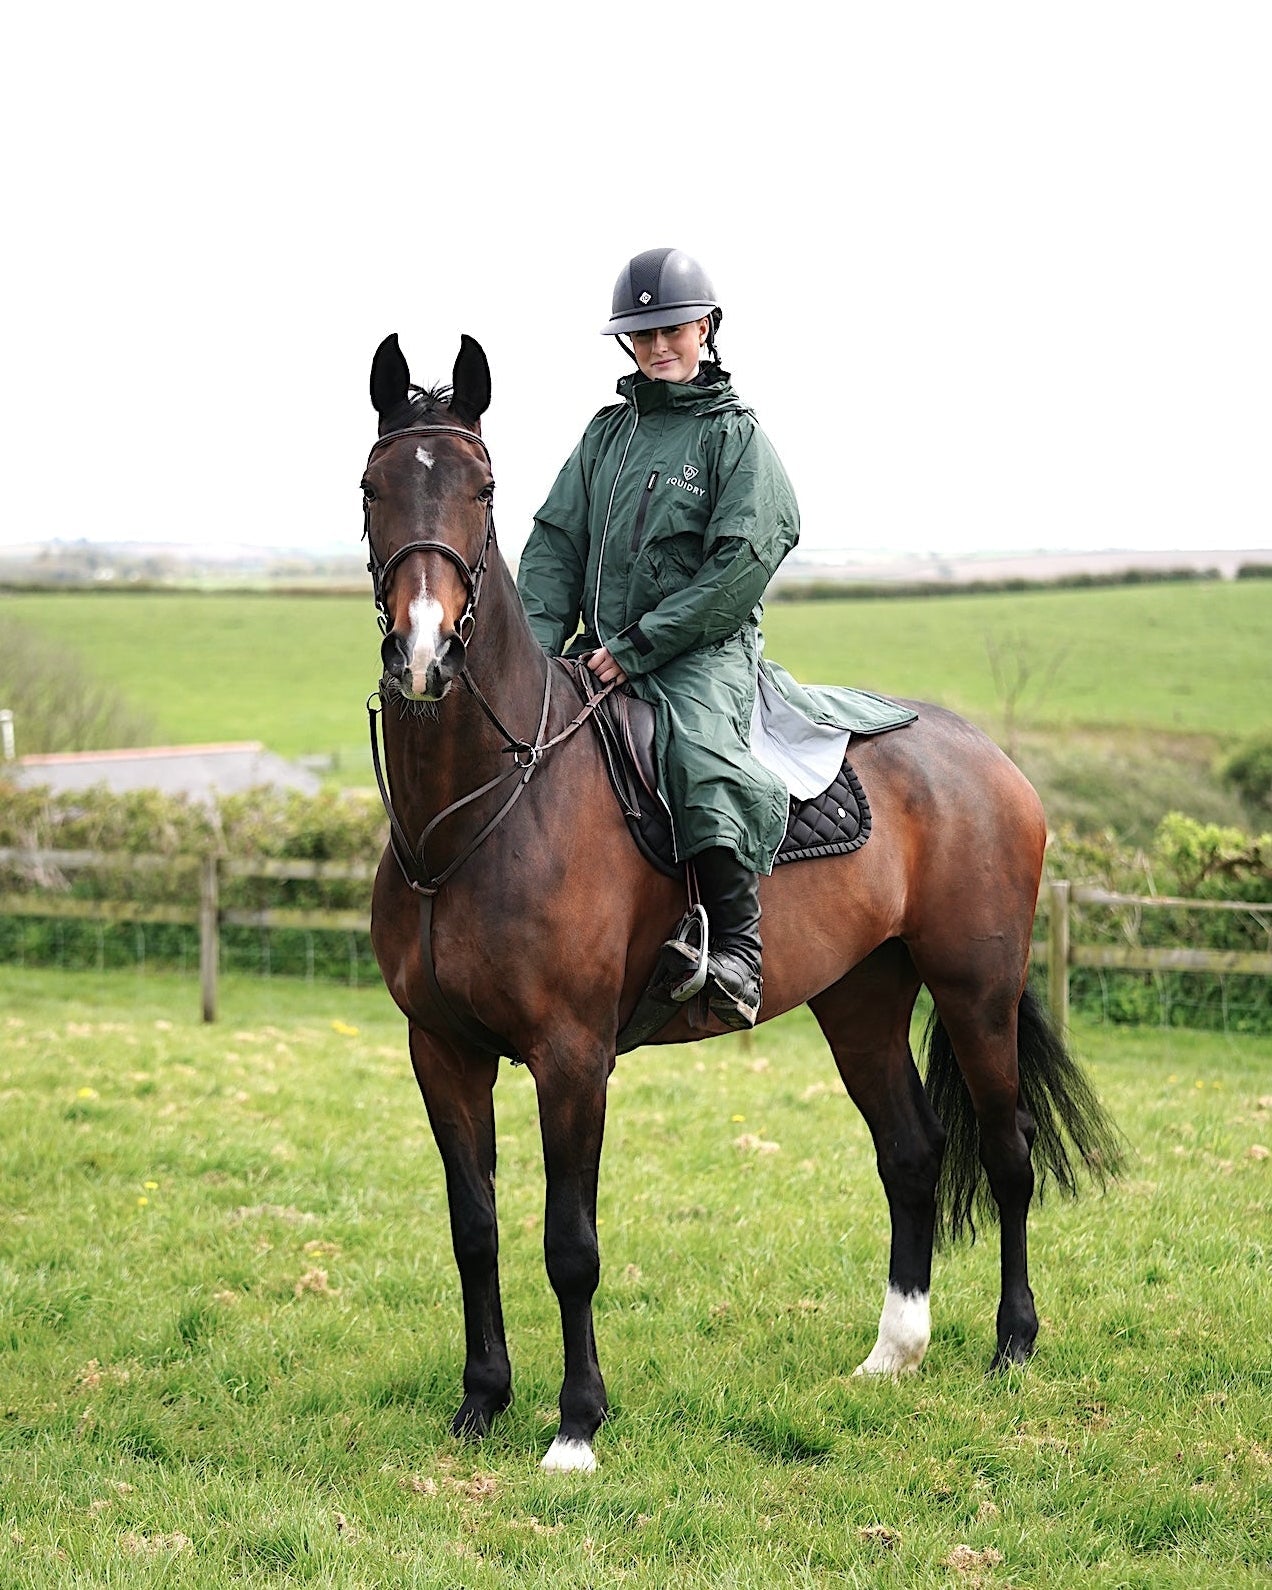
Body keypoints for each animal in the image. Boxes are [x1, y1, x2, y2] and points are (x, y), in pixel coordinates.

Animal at [360, 332, 1121, 1473]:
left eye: (482, 489)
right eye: (374, 487)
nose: (422, 654)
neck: (482, 809)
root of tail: (986, 758)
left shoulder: (571, 1057)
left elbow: (569, 1244)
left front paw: (576, 1426)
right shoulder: (441, 1052)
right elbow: (475, 1228)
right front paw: (481, 1402)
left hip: (976, 992)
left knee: (1007, 1152)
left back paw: (1012, 1345)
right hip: (862, 999)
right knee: (911, 1154)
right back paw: (892, 1353)